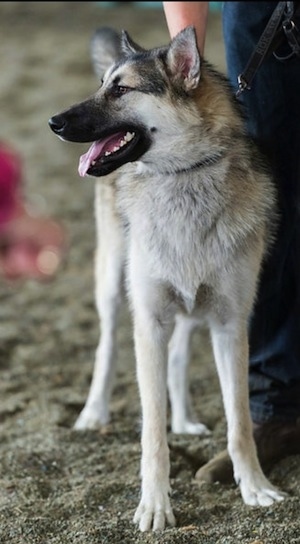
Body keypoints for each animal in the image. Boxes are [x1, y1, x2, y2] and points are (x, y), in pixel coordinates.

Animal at [48, 26, 284, 532]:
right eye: (102, 84)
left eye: (121, 90)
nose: (53, 122)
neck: (185, 179)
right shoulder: (149, 322)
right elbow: (151, 432)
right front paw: (154, 505)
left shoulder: (230, 324)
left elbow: (240, 422)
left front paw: (254, 486)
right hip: (113, 287)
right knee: (106, 345)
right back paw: (93, 413)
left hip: (194, 310)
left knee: (179, 354)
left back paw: (187, 421)